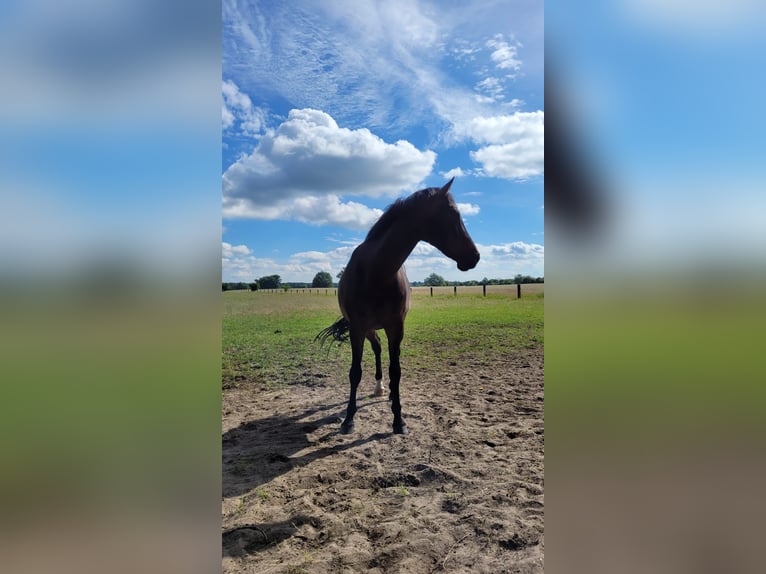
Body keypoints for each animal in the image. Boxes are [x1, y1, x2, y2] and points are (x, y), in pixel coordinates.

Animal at [318, 180, 480, 436]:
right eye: (453, 215)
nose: (474, 256)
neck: (376, 271)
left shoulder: (396, 327)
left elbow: (397, 371)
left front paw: (399, 419)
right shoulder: (357, 328)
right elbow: (355, 372)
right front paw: (349, 420)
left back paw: (389, 393)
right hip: (369, 329)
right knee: (377, 349)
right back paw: (379, 388)